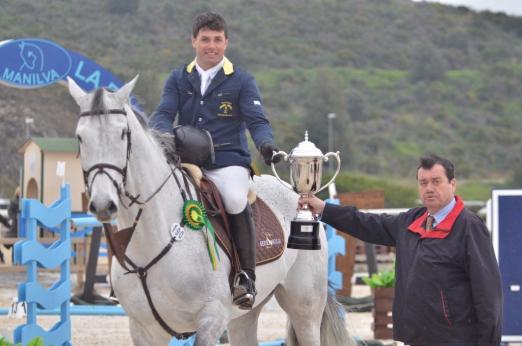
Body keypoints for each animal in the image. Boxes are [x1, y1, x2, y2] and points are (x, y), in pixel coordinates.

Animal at [65, 76, 350, 346]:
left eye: (123, 133)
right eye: (80, 137)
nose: (103, 204)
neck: (153, 237)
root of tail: (298, 197)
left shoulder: (211, 318)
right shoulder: (144, 330)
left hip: (305, 309)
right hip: (244, 316)